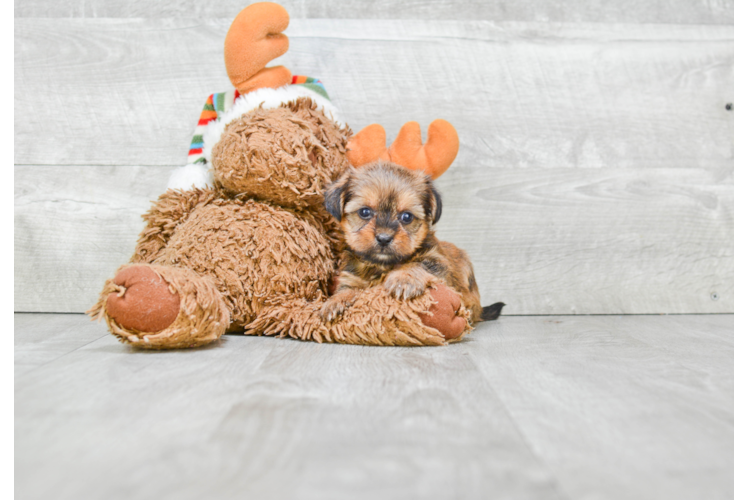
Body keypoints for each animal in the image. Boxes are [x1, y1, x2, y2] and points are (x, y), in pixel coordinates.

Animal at [322, 161, 502, 324]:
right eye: (364, 212)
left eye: (406, 217)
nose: (384, 238)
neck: (382, 265)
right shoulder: (352, 276)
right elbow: (348, 287)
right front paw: (335, 301)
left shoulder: (439, 263)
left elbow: (417, 264)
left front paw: (403, 279)